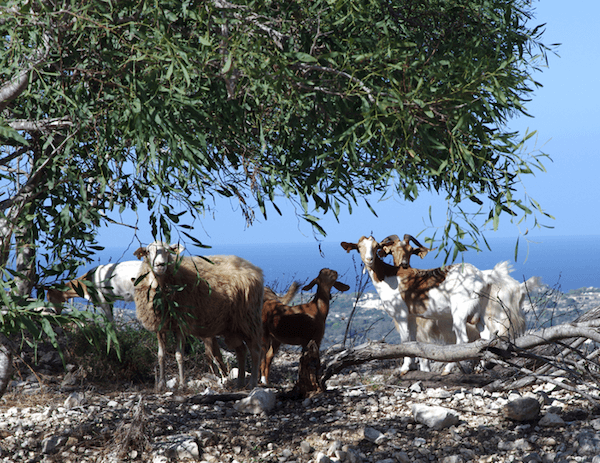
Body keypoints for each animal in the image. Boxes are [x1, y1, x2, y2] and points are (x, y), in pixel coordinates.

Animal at [132, 243, 264, 392]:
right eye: (148, 251)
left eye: (168, 251)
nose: (160, 265)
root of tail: (254, 268)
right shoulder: (160, 326)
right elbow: (161, 356)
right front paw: (161, 384)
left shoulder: (181, 324)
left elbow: (179, 356)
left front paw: (182, 384)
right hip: (233, 326)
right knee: (241, 350)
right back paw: (240, 383)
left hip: (249, 318)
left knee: (255, 350)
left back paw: (252, 383)